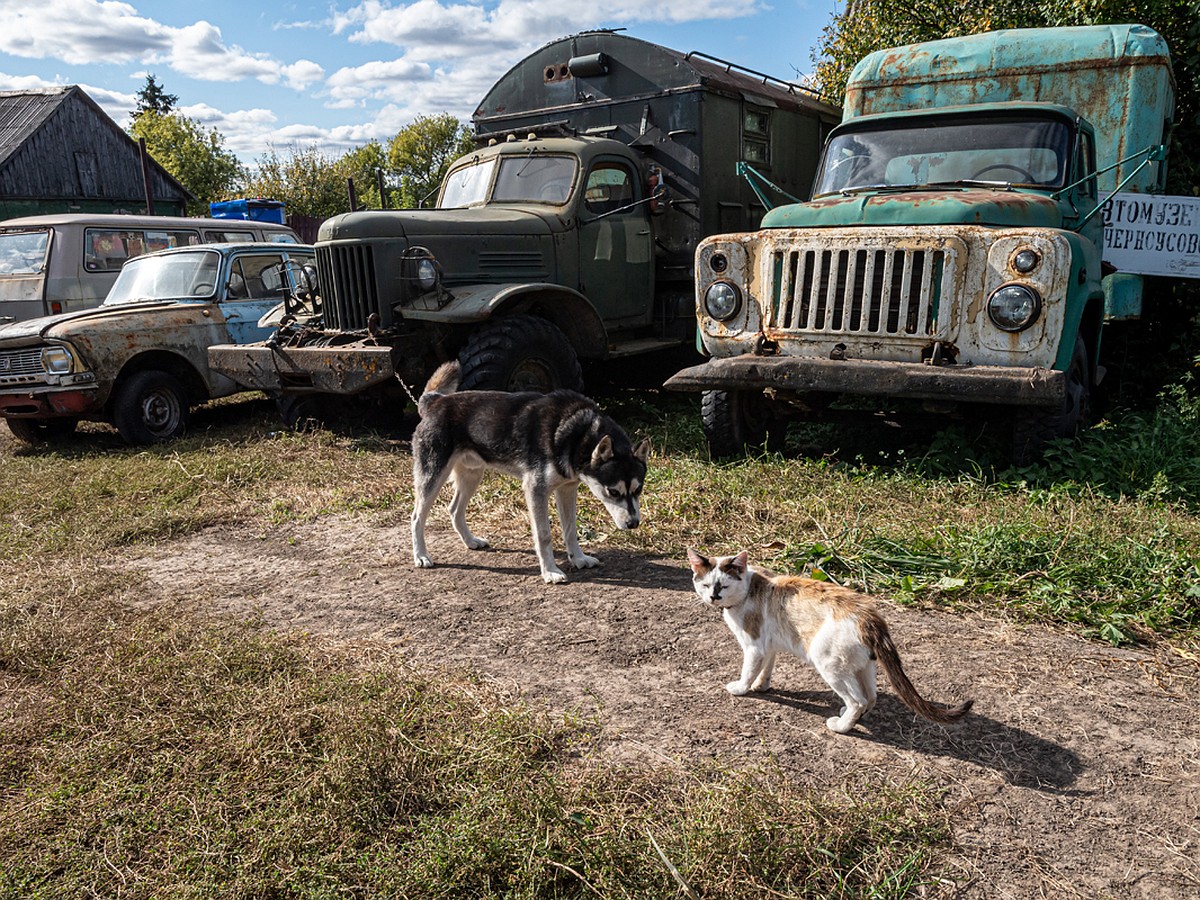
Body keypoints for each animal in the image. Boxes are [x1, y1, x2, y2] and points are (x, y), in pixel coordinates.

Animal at [415, 364, 657, 585]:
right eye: (613, 492)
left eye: (639, 489)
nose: (634, 523)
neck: (577, 433)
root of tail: (435, 401)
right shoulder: (535, 490)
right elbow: (544, 535)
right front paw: (550, 571)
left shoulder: (567, 489)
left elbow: (570, 530)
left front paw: (578, 558)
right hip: (432, 478)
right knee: (417, 516)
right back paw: (421, 556)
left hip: (472, 476)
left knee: (454, 509)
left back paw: (470, 541)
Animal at [691, 549, 969, 734]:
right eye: (705, 585)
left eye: (724, 586)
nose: (713, 597)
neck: (750, 588)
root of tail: (869, 616)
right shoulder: (768, 646)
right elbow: (766, 669)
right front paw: (762, 686)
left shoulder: (754, 646)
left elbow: (748, 671)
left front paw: (742, 688)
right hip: (861, 666)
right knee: (870, 697)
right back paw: (850, 718)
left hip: (828, 663)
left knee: (858, 700)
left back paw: (842, 726)